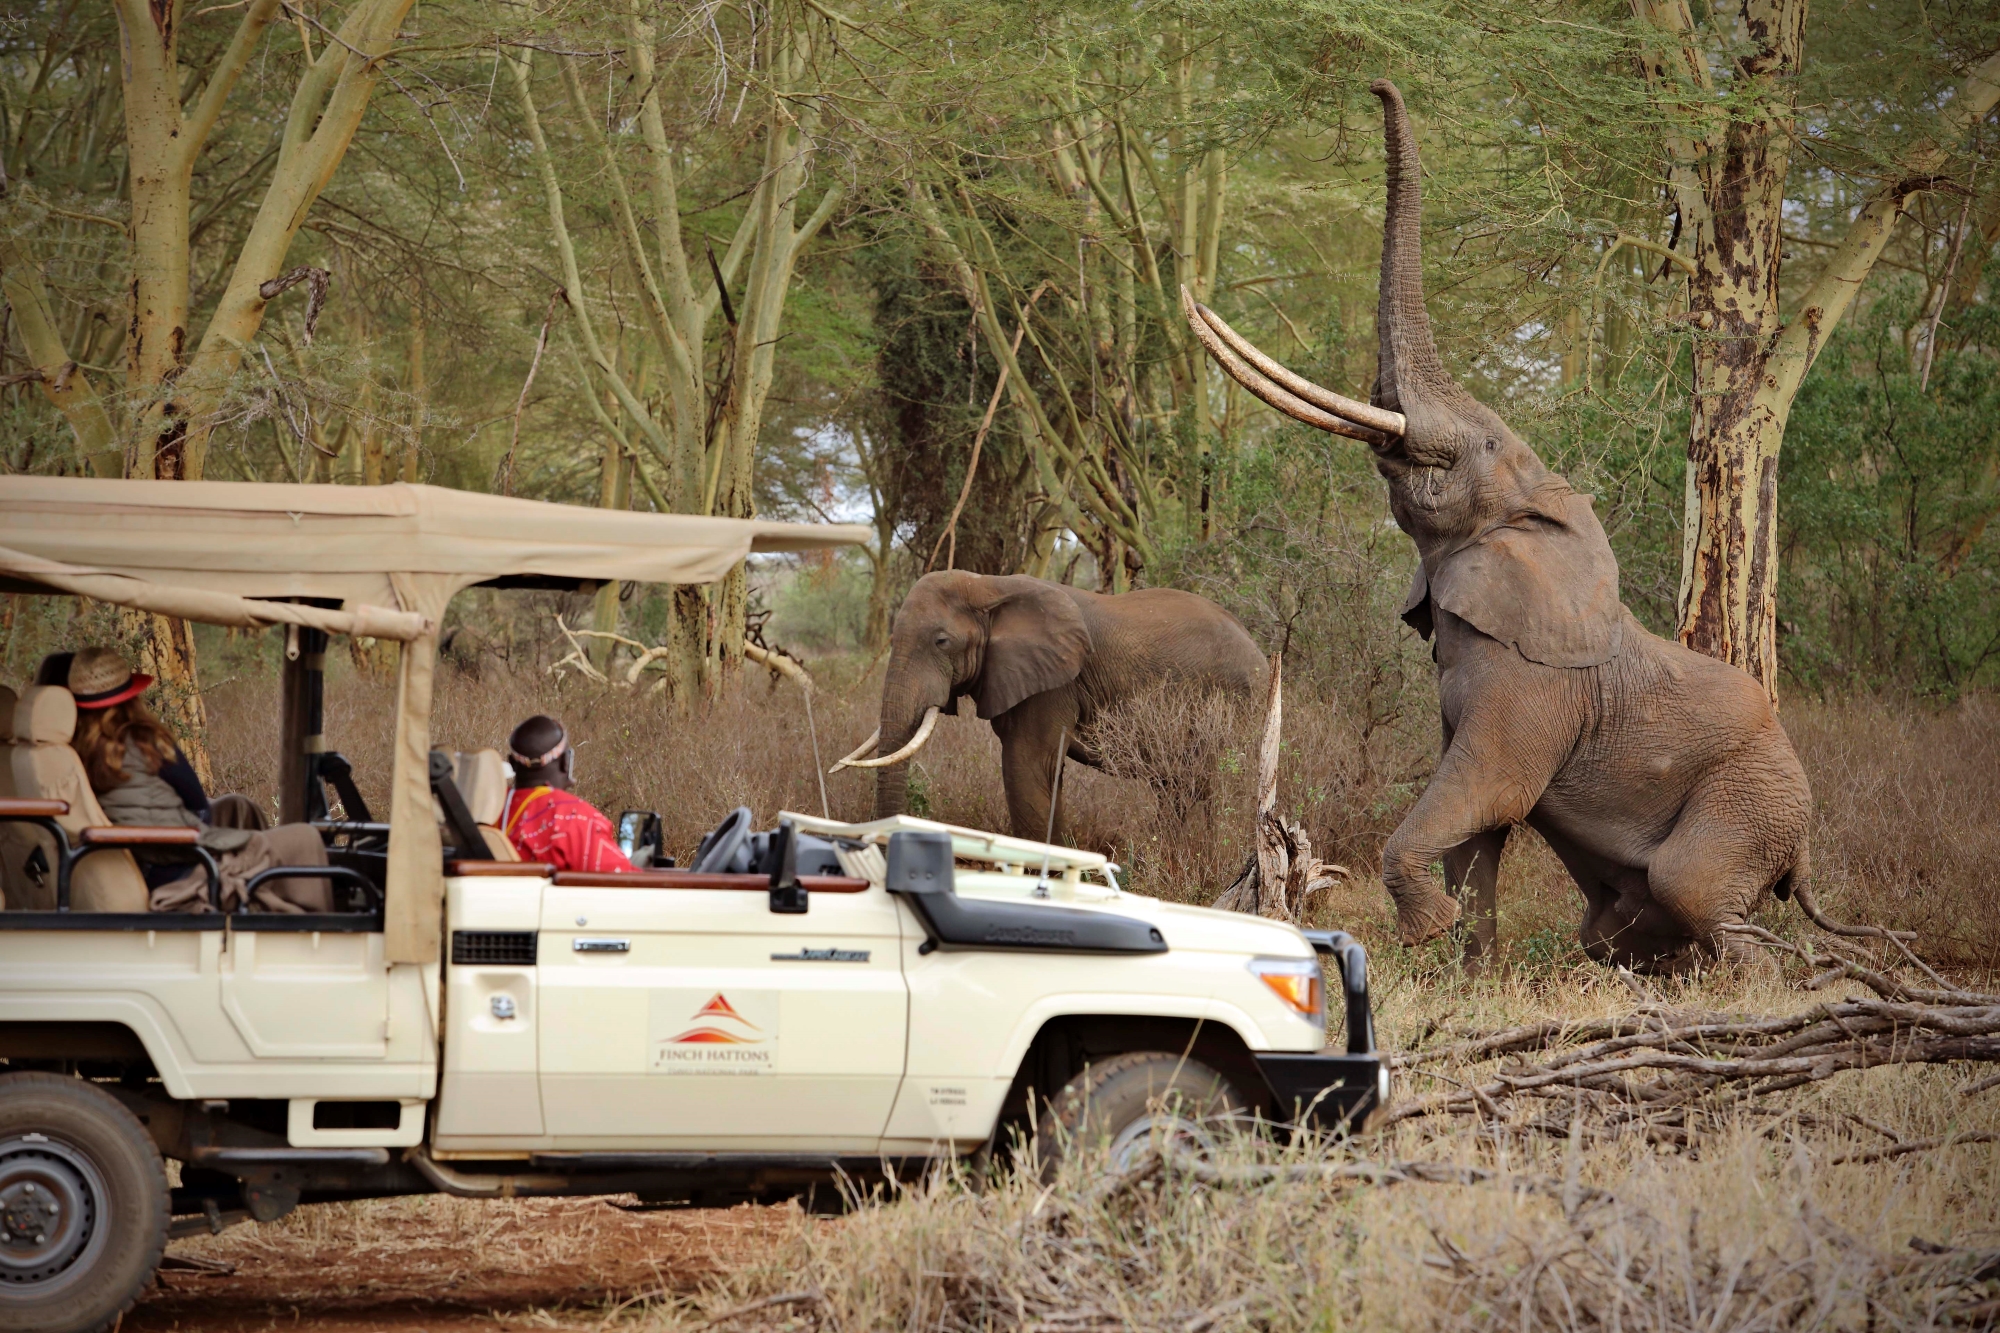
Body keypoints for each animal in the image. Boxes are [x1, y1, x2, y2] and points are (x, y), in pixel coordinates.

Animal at [832, 568, 1264, 836]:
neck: (989, 584)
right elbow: (1042, 774)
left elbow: (1026, 765)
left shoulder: (1054, 684)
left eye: (942, 642)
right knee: (1176, 787)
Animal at [1176, 85, 1824, 976]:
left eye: (1482, 445)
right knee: (1620, 925)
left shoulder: (1530, 687)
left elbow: (1486, 788)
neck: (1541, 517)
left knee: (1696, 888)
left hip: (1751, 800)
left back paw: (1755, 983)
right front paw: (1467, 964)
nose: (1378, 86)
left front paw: (1426, 931)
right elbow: (1473, 829)